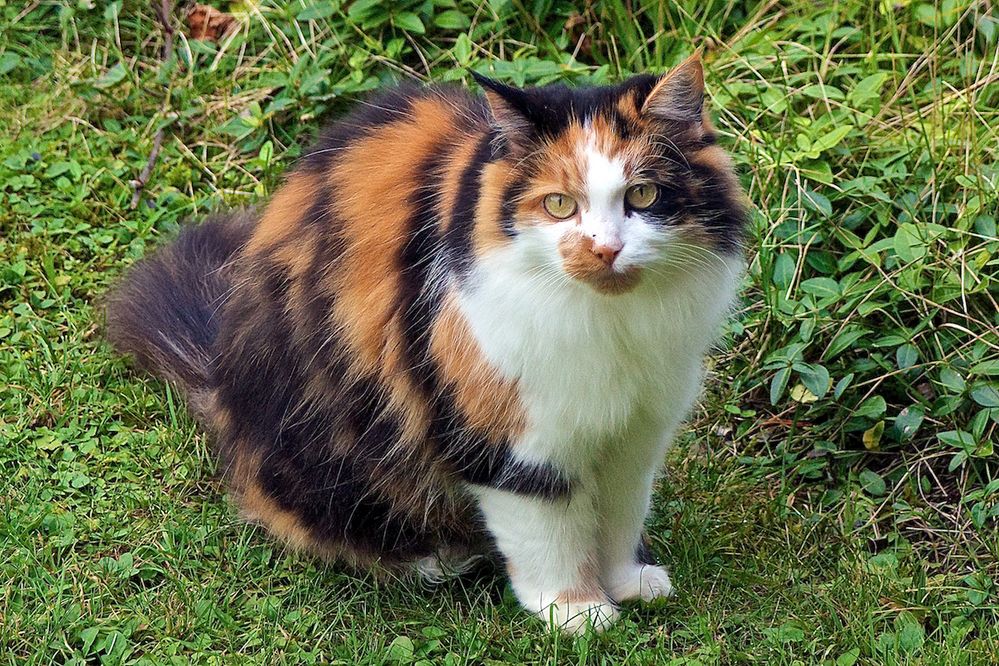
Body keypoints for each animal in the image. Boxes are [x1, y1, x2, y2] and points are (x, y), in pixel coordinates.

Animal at [105, 54, 748, 632]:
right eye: (560, 205)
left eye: (643, 197)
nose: (605, 249)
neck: (611, 327)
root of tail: (219, 379)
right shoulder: (509, 437)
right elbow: (549, 533)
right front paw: (575, 612)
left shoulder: (635, 435)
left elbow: (619, 516)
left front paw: (627, 584)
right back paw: (435, 560)